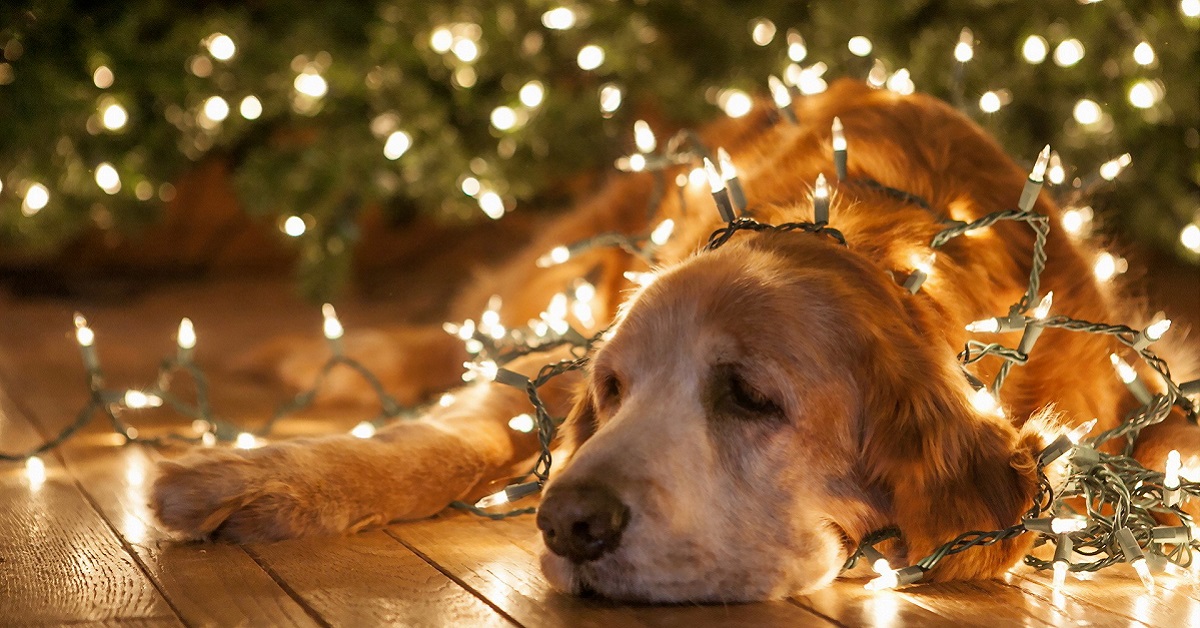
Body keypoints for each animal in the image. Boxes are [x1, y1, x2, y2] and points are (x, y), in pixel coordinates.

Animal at [154, 79, 1195, 605]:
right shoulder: (555, 369)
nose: (568, 525)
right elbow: (461, 433)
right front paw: (253, 478)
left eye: (751, 397)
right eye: (613, 391)